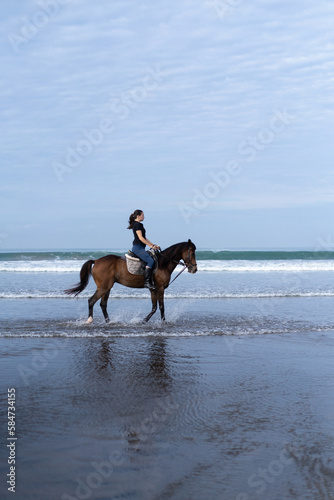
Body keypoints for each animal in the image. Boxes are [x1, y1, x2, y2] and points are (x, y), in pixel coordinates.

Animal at [64, 239, 197, 324]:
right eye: (192, 253)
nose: (194, 269)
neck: (163, 264)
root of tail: (96, 261)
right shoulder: (160, 289)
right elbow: (161, 307)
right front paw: (164, 322)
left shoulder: (153, 290)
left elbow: (154, 307)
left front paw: (143, 320)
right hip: (103, 287)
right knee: (91, 301)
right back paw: (89, 320)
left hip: (107, 288)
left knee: (103, 304)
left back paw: (109, 322)